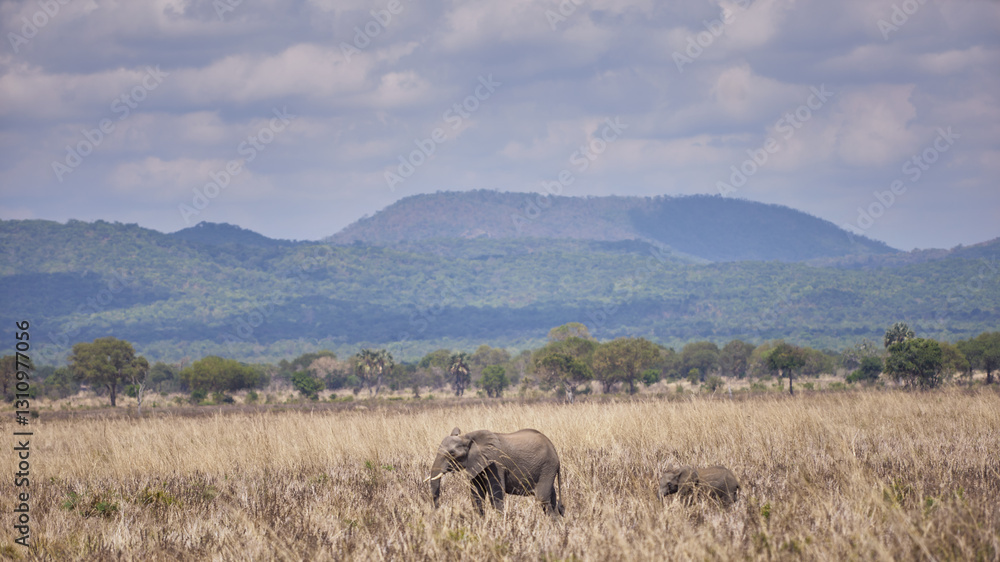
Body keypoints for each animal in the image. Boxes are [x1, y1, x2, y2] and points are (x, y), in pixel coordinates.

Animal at [426, 427, 565, 516]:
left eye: (452, 453)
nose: (436, 512)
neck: (469, 437)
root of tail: (554, 450)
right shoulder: (476, 463)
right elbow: (476, 494)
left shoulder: (496, 463)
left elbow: (495, 496)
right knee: (552, 499)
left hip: (547, 468)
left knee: (543, 500)